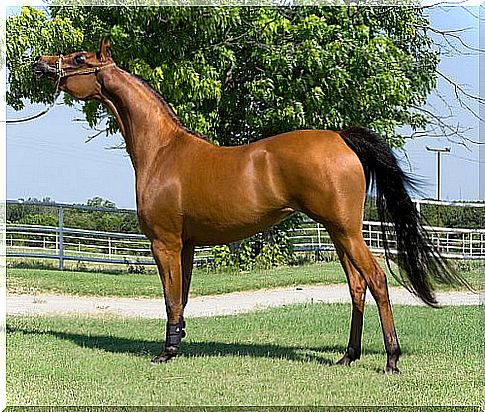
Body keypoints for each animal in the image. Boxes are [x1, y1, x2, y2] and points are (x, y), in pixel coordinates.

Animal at [32, 38, 466, 374]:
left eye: (79, 59)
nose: (40, 63)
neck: (163, 151)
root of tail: (342, 137)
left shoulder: (165, 243)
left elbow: (171, 297)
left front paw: (166, 352)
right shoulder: (187, 246)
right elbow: (182, 297)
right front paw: (178, 343)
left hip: (346, 231)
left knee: (376, 280)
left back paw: (391, 359)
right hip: (338, 231)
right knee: (357, 286)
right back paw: (348, 356)